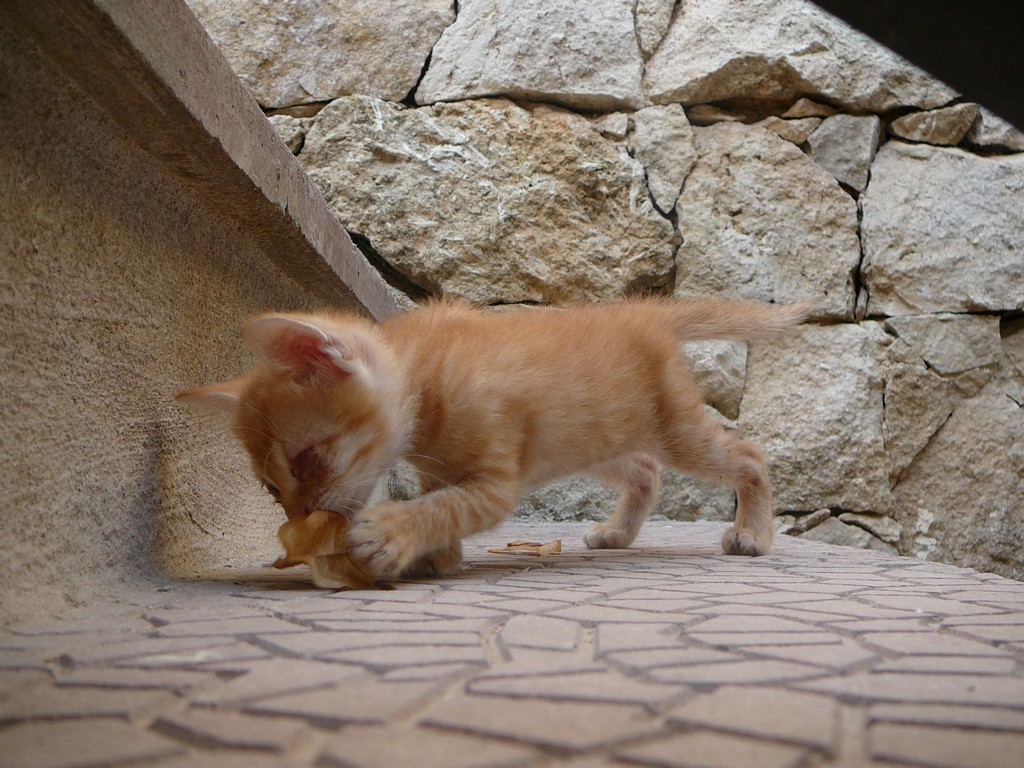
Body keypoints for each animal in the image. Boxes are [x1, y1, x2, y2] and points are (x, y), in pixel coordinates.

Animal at [177, 297, 811, 581]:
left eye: (309, 459)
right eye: (269, 488)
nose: (299, 515)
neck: (427, 377)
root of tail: (643, 312)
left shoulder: (495, 483)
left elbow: (445, 505)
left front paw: (391, 534)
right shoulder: (442, 469)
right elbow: (441, 500)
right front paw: (436, 557)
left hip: (672, 427)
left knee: (748, 454)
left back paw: (754, 533)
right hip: (595, 438)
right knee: (645, 471)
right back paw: (617, 533)